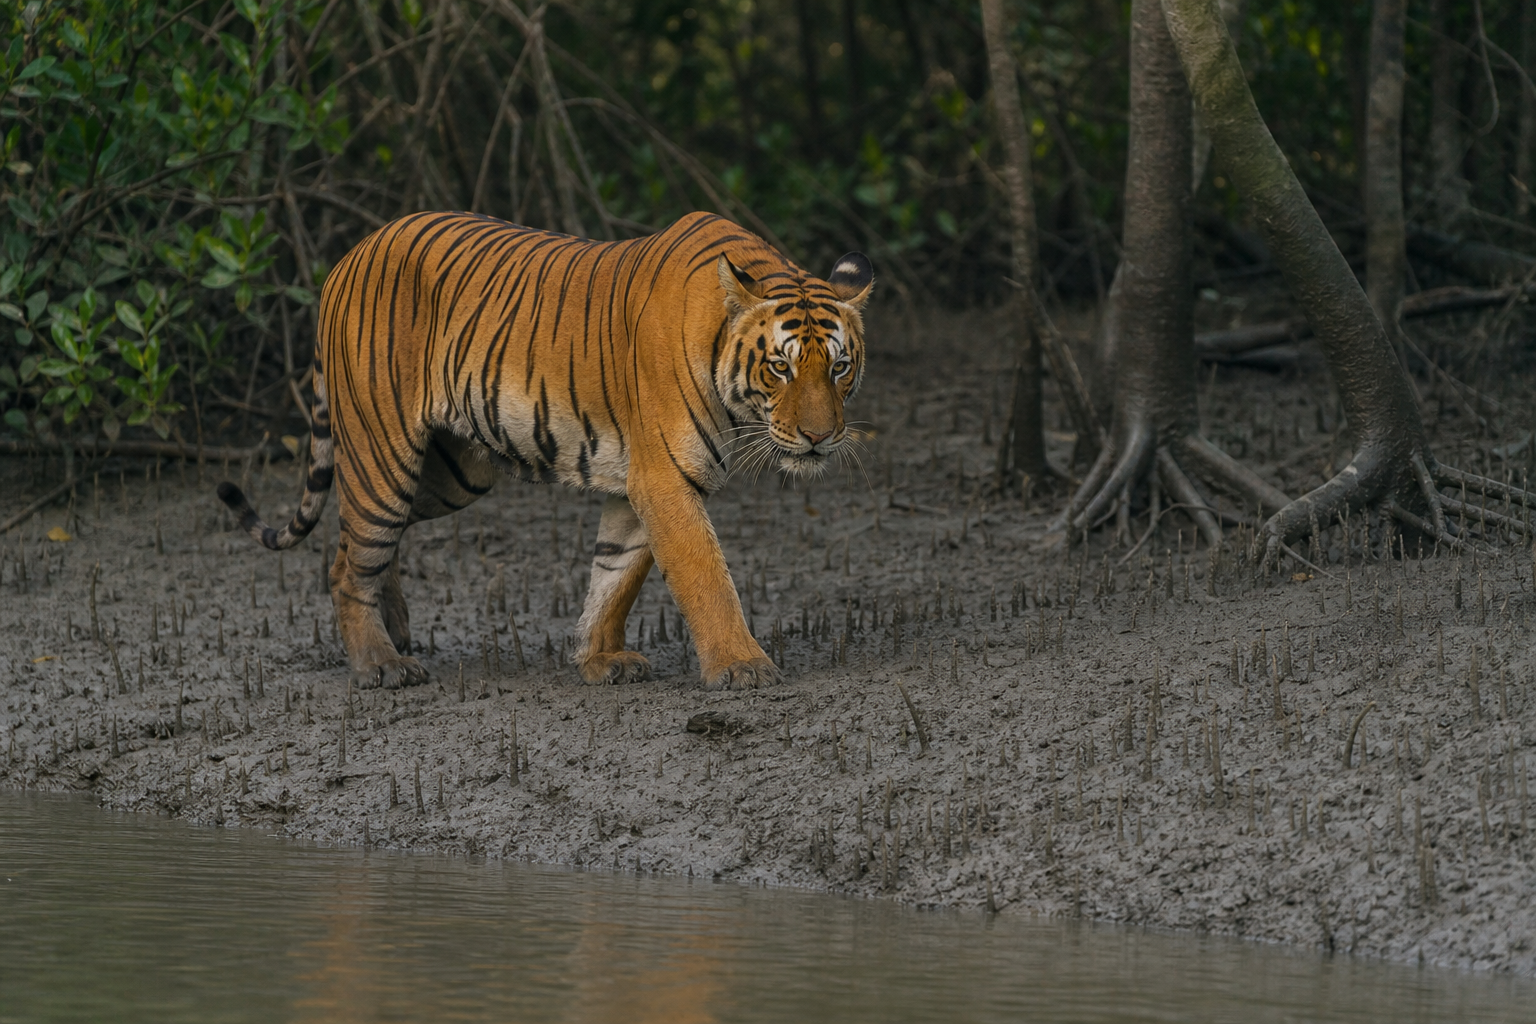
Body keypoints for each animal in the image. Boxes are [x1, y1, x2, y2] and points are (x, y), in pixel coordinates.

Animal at [217, 211, 873, 691]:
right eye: (780, 367)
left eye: (839, 367)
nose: (819, 437)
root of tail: (348, 256)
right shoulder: (664, 477)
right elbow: (705, 575)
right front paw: (741, 666)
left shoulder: (640, 483)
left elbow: (616, 574)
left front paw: (599, 658)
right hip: (384, 455)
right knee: (352, 556)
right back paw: (381, 664)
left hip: (452, 471)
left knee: (353, 543)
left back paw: (395, 631)